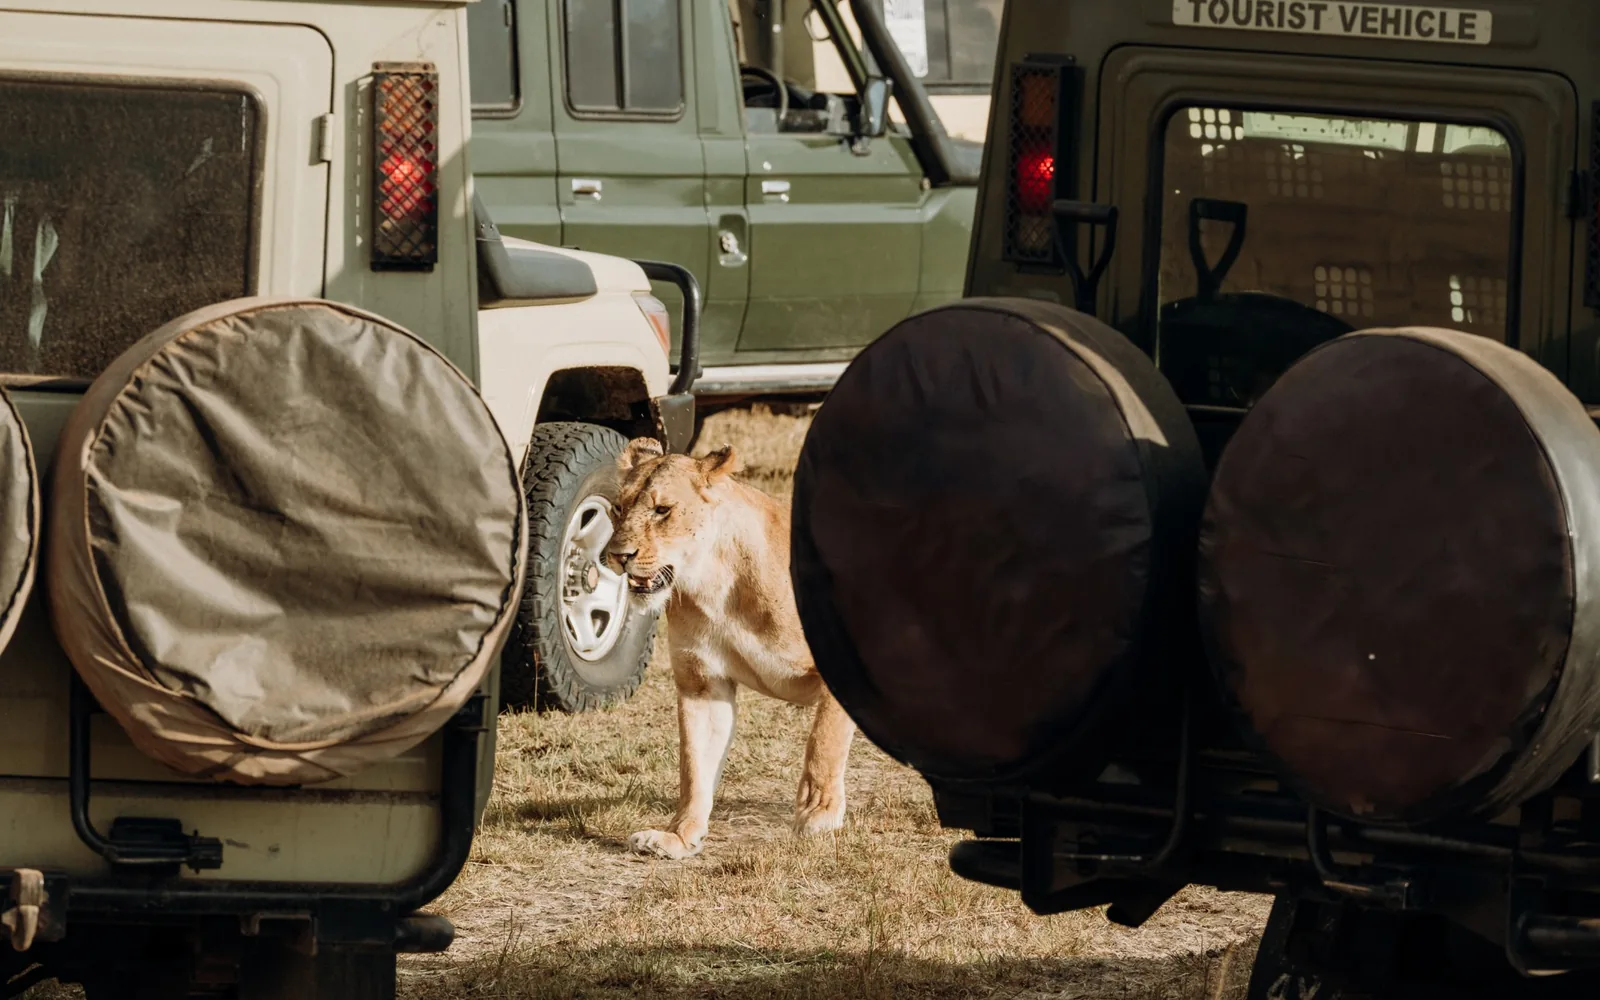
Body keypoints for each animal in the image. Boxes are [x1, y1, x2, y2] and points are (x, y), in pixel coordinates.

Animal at [603, 437, 856, 860]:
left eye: (662, 510)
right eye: (618, 509)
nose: (619, 556)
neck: (714, 585)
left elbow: (823, 742)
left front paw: (818, 814)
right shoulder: (703, 683)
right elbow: (695, 765)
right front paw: (677, 836)